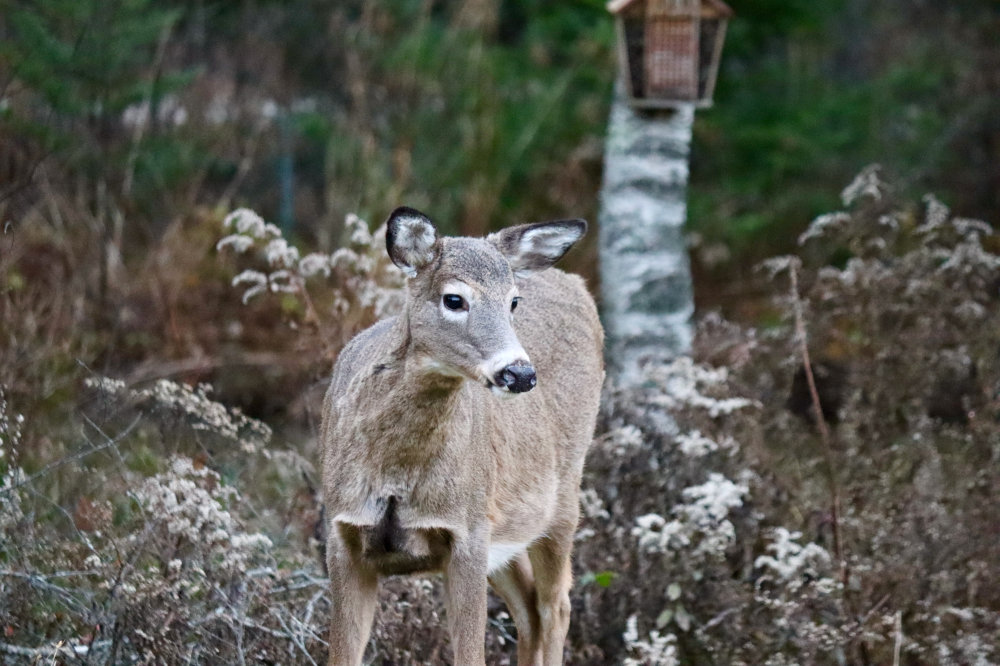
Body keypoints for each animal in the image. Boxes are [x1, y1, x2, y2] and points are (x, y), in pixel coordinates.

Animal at [320, 205, 600, 660]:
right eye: (454, 299)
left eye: (513, 301)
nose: (519, 373)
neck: (397, 471)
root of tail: (575, 283)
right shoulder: (341, 534)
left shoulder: (467, 533)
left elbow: (471, 654)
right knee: (529, 609)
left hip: (560, 498)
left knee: (556, 607)